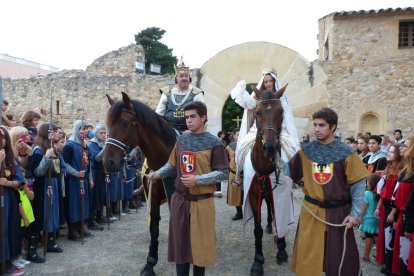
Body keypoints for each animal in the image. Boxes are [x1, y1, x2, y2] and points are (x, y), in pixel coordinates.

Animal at [103, 92, 176, 276]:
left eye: (125, 123)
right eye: (107, 125)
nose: (107, 162)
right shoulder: (153, 197)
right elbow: (154, 228)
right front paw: (150, 264)